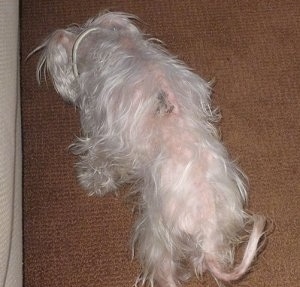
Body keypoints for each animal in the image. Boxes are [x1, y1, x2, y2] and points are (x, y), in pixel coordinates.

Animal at [37, 11, 264, 287]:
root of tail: (207, 224)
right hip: (218, 235)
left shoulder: (102, 135)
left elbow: (99, 162)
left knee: (165, 271)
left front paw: (92, 182)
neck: (108, 41)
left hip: (156, 235)